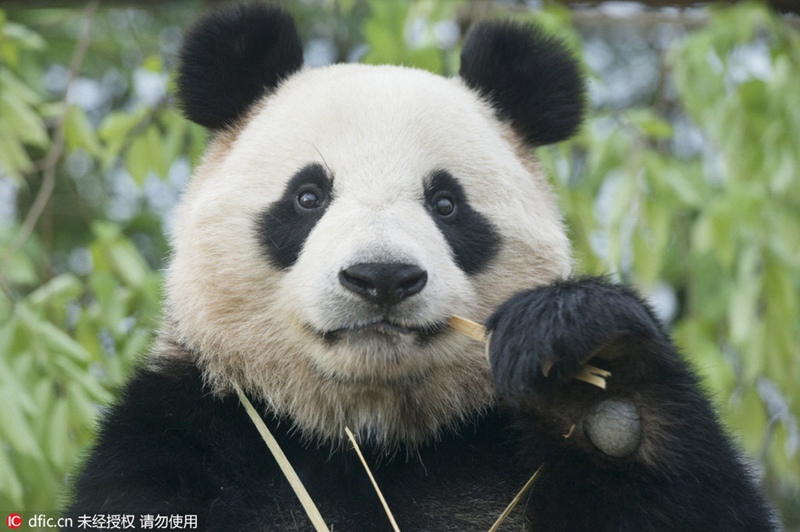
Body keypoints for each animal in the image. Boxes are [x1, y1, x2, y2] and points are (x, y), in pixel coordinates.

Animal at [66, 4, 778, 531]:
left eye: (446, 203)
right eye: (307, 196)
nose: (381, 277)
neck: (370, 438)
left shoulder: (495, 454)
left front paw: (597, 384)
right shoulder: (180, 439)